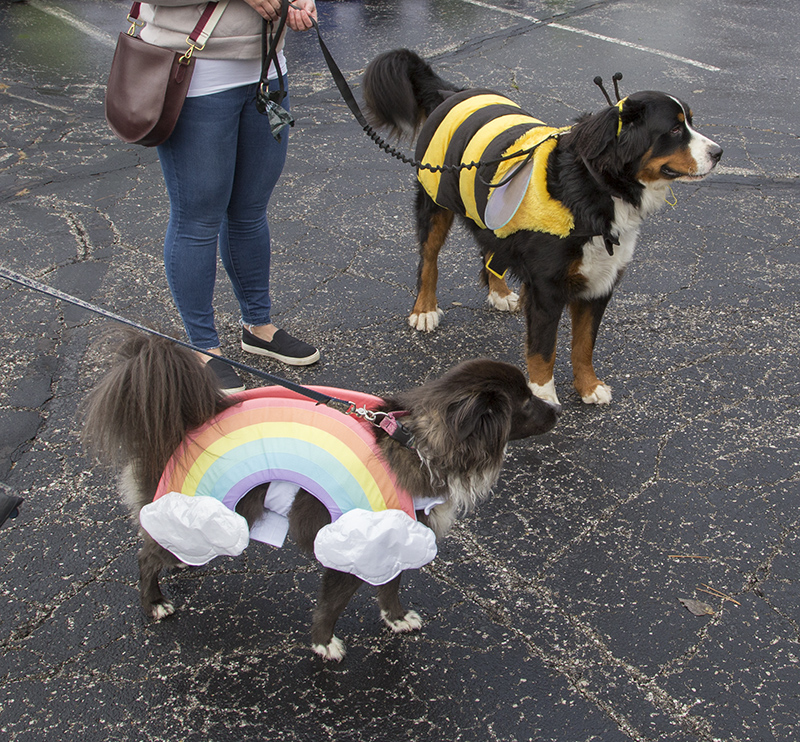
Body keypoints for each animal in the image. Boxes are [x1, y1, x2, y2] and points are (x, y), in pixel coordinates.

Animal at [364, 49, 724, 410]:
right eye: (675, 130)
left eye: (690, 122)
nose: (719, 153)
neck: (595, 186)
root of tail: (453, 92)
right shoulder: (548, 289)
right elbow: (543, 350)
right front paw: (542, 395)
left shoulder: (600, 281)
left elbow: (584, 344)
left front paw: (588, 386)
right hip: (435, 200)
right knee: (429, 260)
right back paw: (424, 309)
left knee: (489, 250)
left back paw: (500, 292)